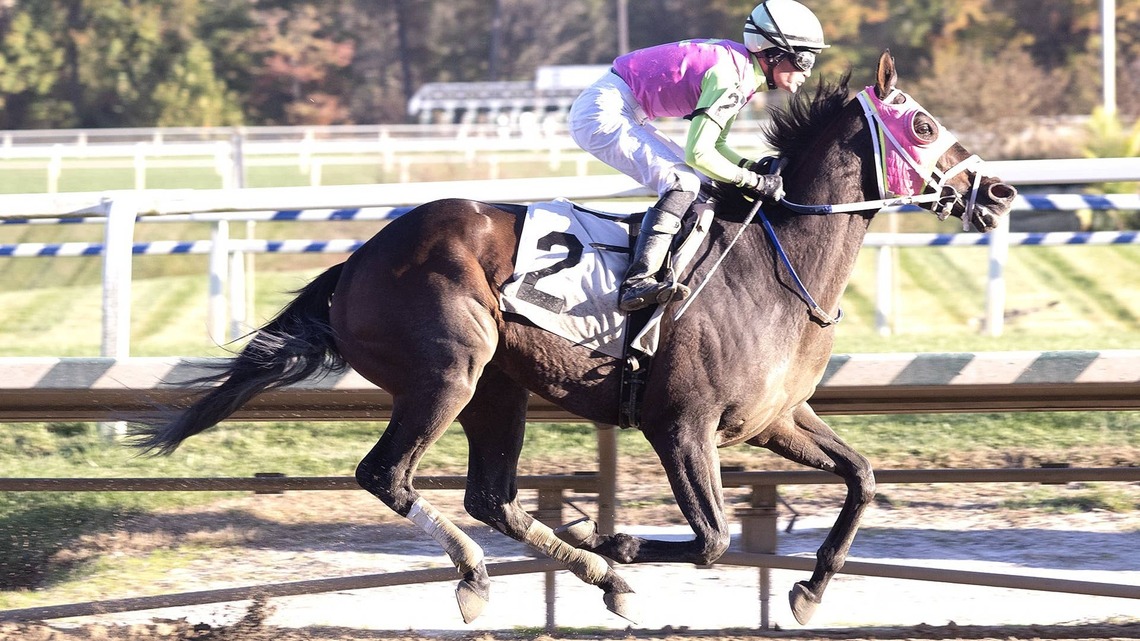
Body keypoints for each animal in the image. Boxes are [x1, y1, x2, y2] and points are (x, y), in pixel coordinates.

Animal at [132, 50, 1017, 626]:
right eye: (923, 123)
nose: (1000, 192)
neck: (774, 267)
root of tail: (358, 259)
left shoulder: (774, 420)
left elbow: (861, 477)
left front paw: (808, 590)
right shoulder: (680, 424)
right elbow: (713, 537)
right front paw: (617, 535)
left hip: (498, 389)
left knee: (490, 495)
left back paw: (591, 574)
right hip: (448, 374)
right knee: (388, 474)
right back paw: (483, 572)